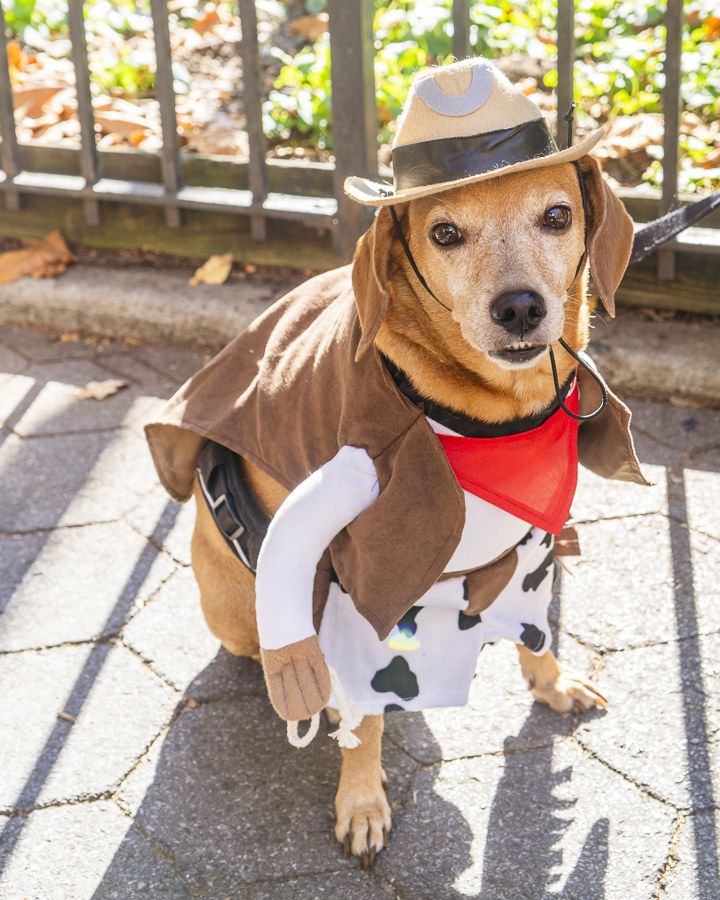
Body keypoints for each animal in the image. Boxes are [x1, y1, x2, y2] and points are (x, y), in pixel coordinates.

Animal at [146, 54, 648, 864]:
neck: (488, 417)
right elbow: (367, 717)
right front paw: (362, 799)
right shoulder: (360, 577)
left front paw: (551, 681)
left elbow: (538, 629)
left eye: (556, 216)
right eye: (444, 231)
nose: (520, 308)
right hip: (242, 604)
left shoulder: (536, 540)